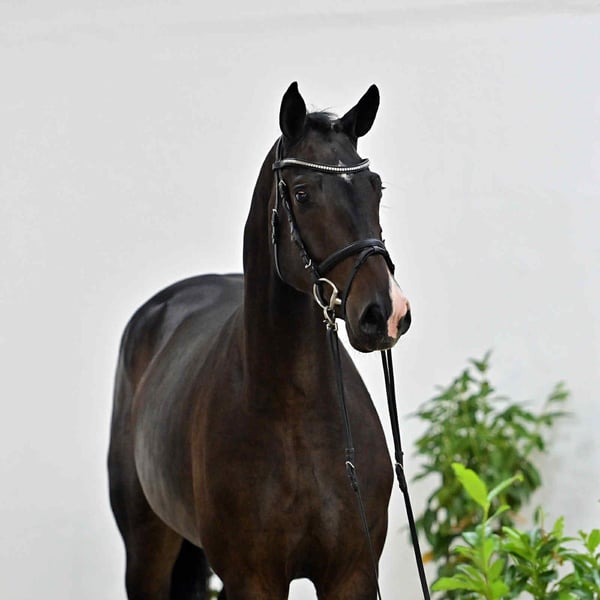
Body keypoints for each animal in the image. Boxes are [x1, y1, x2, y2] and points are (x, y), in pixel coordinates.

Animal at [108, 82, 411, 600]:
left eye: (376, 187)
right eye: (303, 193)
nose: (385, 313)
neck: (296, 417)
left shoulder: (352, 572)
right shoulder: (253, 578)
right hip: (147, 551)